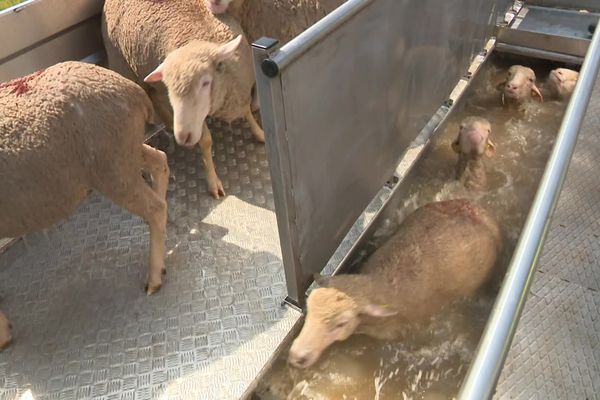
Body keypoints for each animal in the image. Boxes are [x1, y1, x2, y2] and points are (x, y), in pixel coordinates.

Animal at [0, 61, 170, 350]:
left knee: (155, 207)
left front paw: (3, 335)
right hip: (126, 153)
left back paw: (154, 277)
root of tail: (133, 91)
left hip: (112, 167)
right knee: (160, 162)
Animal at [102, 0, 264, 199]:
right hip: (123, 66)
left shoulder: (237, 93)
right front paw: (213, 181)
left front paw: (259, 132)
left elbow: (246, 110)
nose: (182, 136)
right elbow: (206, 141)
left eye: (205, 83)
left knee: (153, 96)